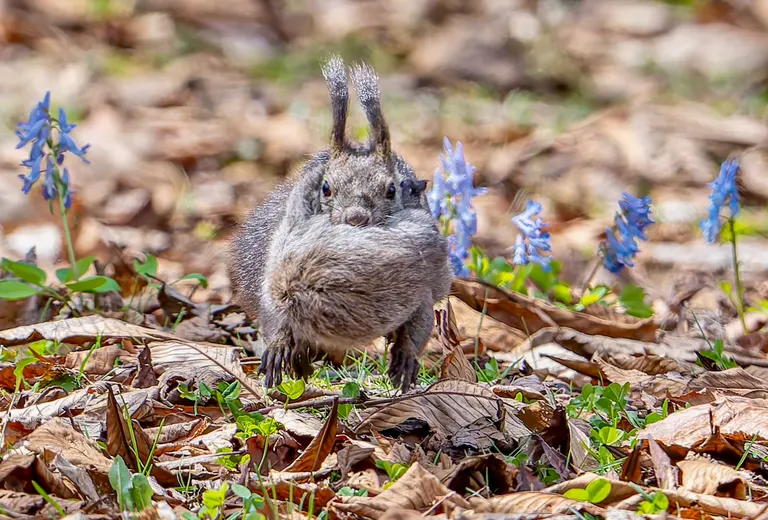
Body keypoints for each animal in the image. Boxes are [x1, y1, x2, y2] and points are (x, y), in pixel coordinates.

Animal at [228, 56, 451, 391]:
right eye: (326, 188)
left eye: (391, 190)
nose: (356, 218)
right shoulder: (273, 273)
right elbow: (275, 315)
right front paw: (279, 345)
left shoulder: (424, 287)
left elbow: (419, 324)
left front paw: (406, 355)